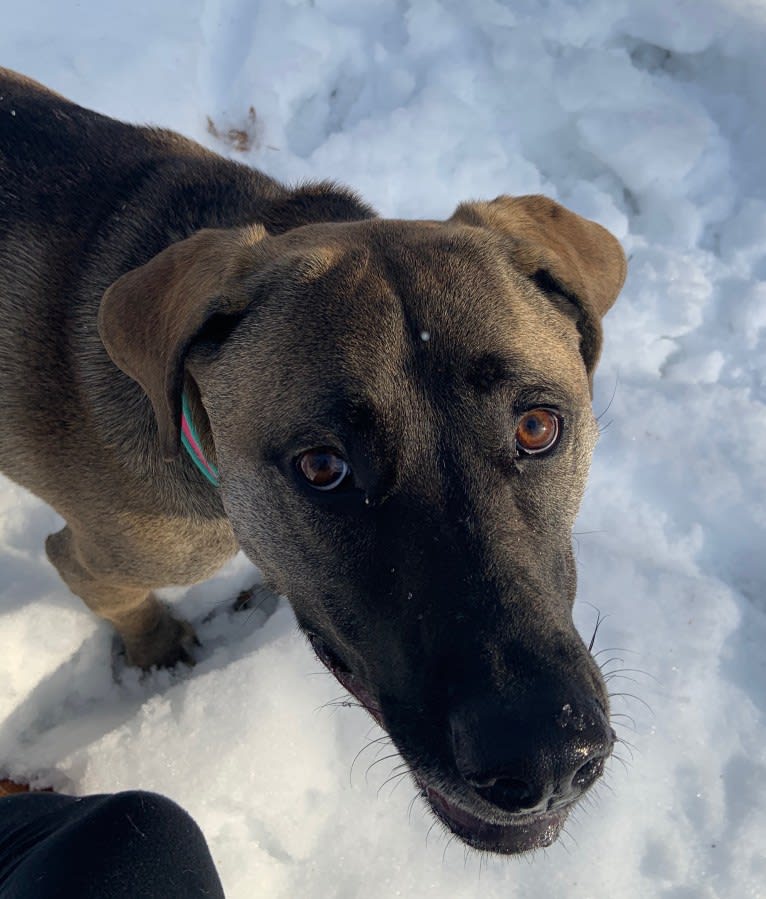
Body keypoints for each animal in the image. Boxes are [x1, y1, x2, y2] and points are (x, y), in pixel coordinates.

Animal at [0, 68, 628, 852]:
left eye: (539, 426)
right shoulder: (102, 558)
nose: (546, 756)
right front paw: (161, 654)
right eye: (323, 467)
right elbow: (114, 594)